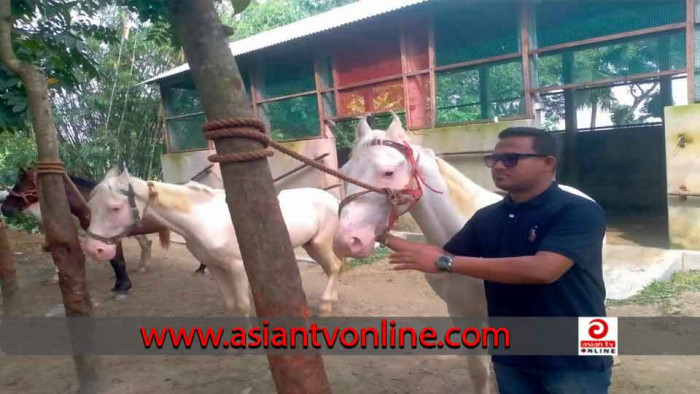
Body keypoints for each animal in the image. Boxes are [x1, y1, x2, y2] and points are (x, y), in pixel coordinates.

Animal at [1, 168, 171, 294]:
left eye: (21, 184)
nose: (5, 209)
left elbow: (117, 260)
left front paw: (122, 286)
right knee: (146, 243)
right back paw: (143, 266)